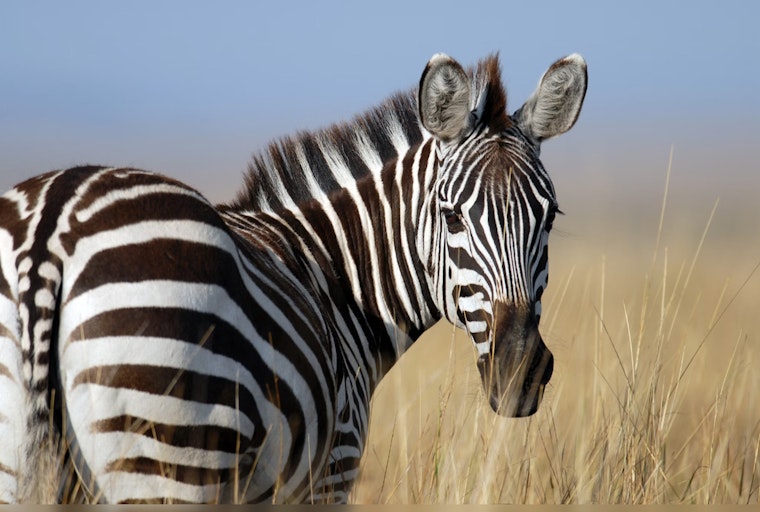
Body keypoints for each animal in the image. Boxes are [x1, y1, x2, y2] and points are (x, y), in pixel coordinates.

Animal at [0, 53, 588, 504]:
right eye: (452, 216)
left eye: (549, 216)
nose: (520, 373)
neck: (337, 279)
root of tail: (50, 227)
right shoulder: (333, 466)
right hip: (164, 456)